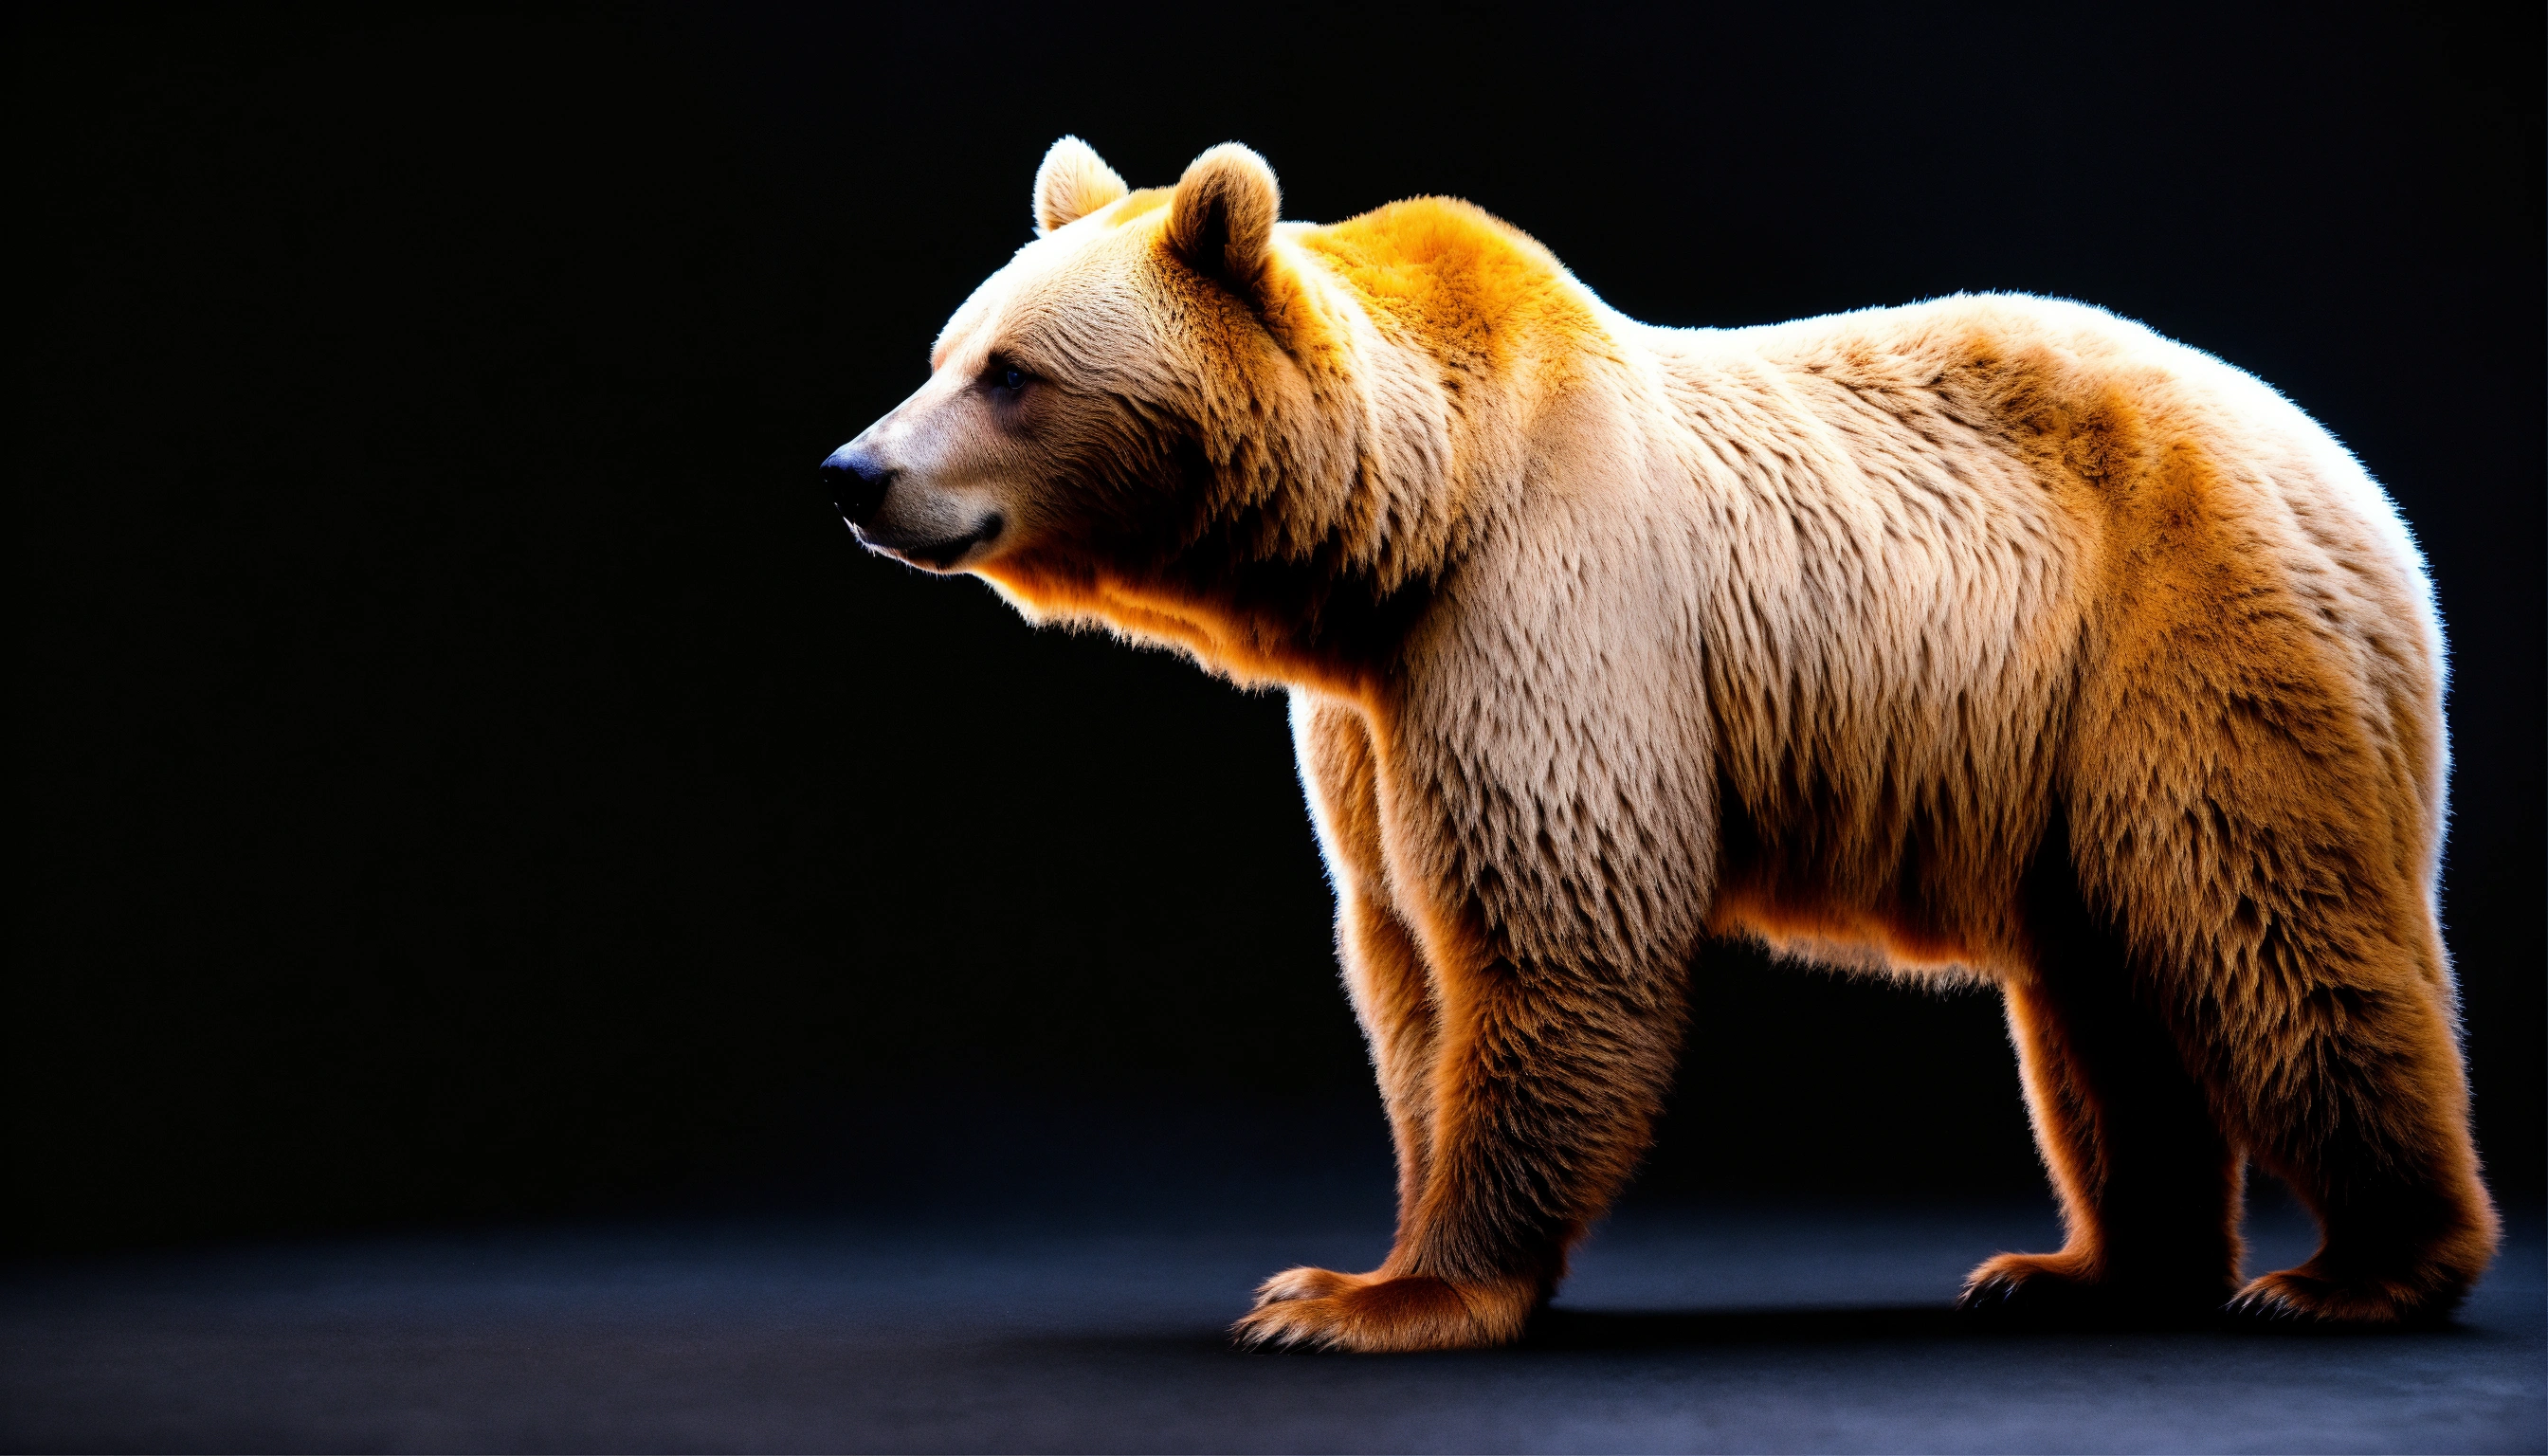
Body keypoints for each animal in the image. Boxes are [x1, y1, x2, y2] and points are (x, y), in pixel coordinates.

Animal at [821, 136, 2498, 1351]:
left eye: (1010, 374)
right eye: (943, 346)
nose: (855, 472)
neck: (1401, 529)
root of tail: (2344, 468)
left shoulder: (1543, 608)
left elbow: (1549, 924)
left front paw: (1372, 1298)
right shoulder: (1372, 714)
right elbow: (1406, 956)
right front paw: (1371, 1263)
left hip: (2194, 638)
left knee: (2266, 927)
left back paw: (2362, 1268)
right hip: (2066, 748)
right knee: (2106, 994)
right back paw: (2087, 1268)